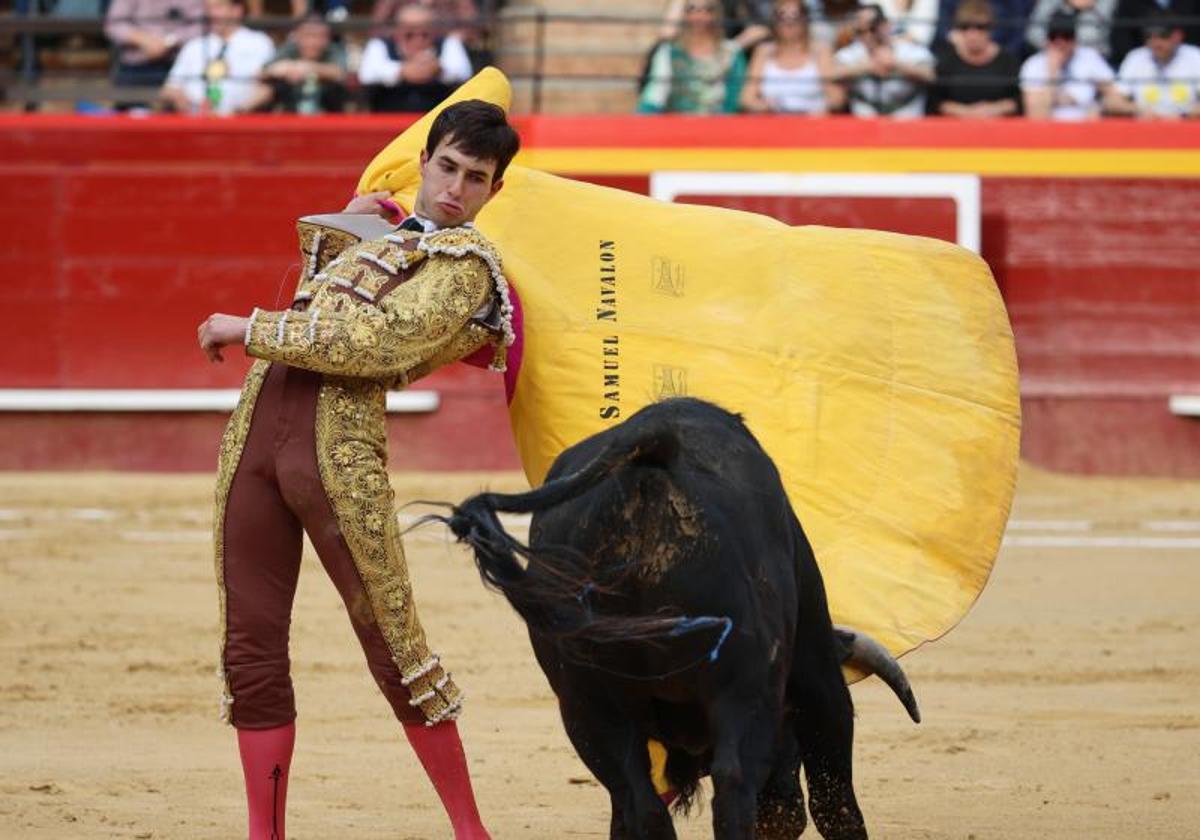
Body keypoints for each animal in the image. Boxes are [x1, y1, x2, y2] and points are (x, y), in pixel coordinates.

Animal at [446, 396, 921, 835]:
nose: (786, 810)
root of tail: (656, 448)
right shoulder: (813, 668)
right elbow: (835, 794)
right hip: (745, 686)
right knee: (736, 785)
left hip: (586, 706)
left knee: (638, 802)